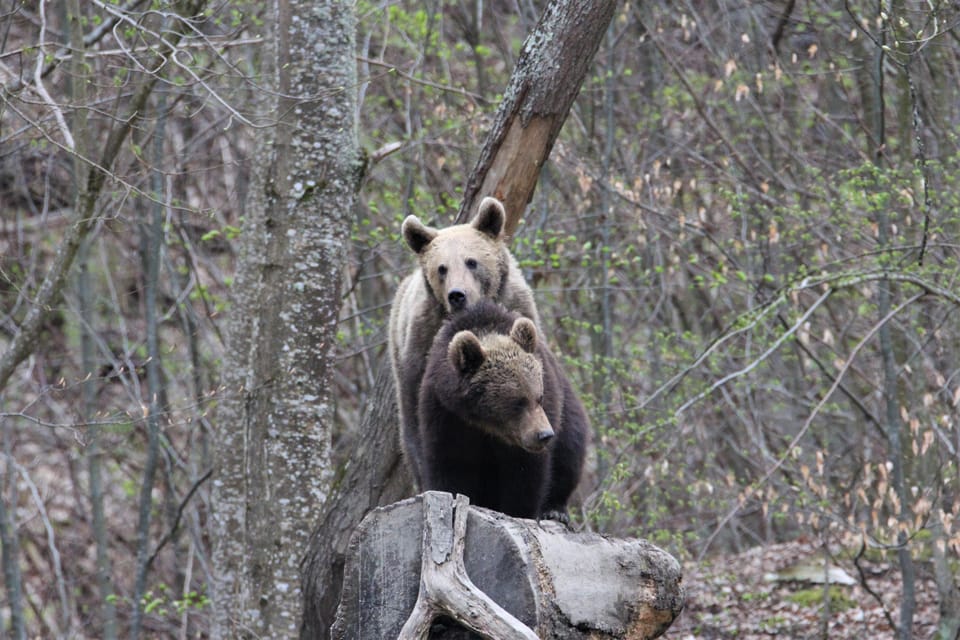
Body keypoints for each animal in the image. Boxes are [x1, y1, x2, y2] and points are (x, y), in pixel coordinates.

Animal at [416, 300, 588, 520]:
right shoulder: (446, 414)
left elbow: (526, 475)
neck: (485, 425)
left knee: (570, 451)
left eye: (539, 397)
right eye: (518, 401)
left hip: (568, 412)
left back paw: (555, 510)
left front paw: (519, 511)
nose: (544, 435)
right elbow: (449, 465)